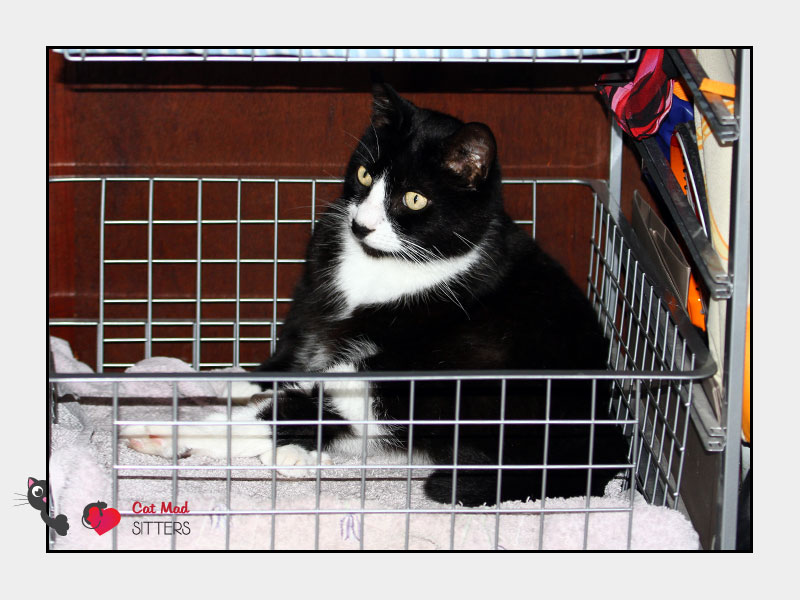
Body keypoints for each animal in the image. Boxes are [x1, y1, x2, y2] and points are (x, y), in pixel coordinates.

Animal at [123, 84, 632, 506]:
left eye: (414, 199)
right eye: (366, 175)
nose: (361, 224)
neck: (384, 265)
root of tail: (601, 429)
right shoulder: (312, 309)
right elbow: (289, 355)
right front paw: (237, 379)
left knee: (317, 411)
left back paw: (168, 435)